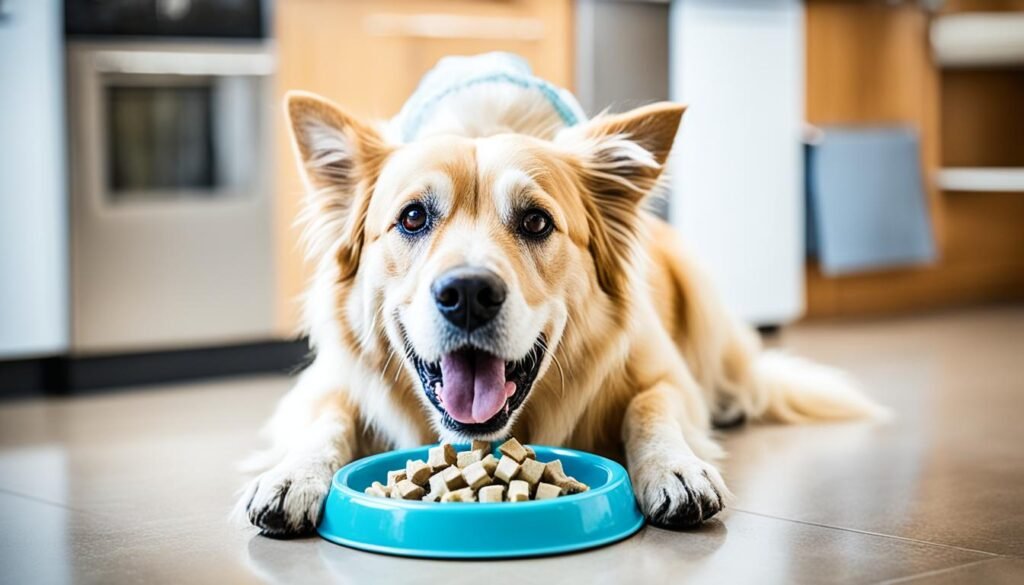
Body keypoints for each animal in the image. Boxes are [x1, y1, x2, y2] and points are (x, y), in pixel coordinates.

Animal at [235, 54, 884, 540]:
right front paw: (291, 475)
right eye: (413, 217)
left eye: (536, 222)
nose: (468, 294)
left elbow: (652, 409)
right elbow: (325, 420)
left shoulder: (661, 371)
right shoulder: (326, 383)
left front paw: (676, 468)